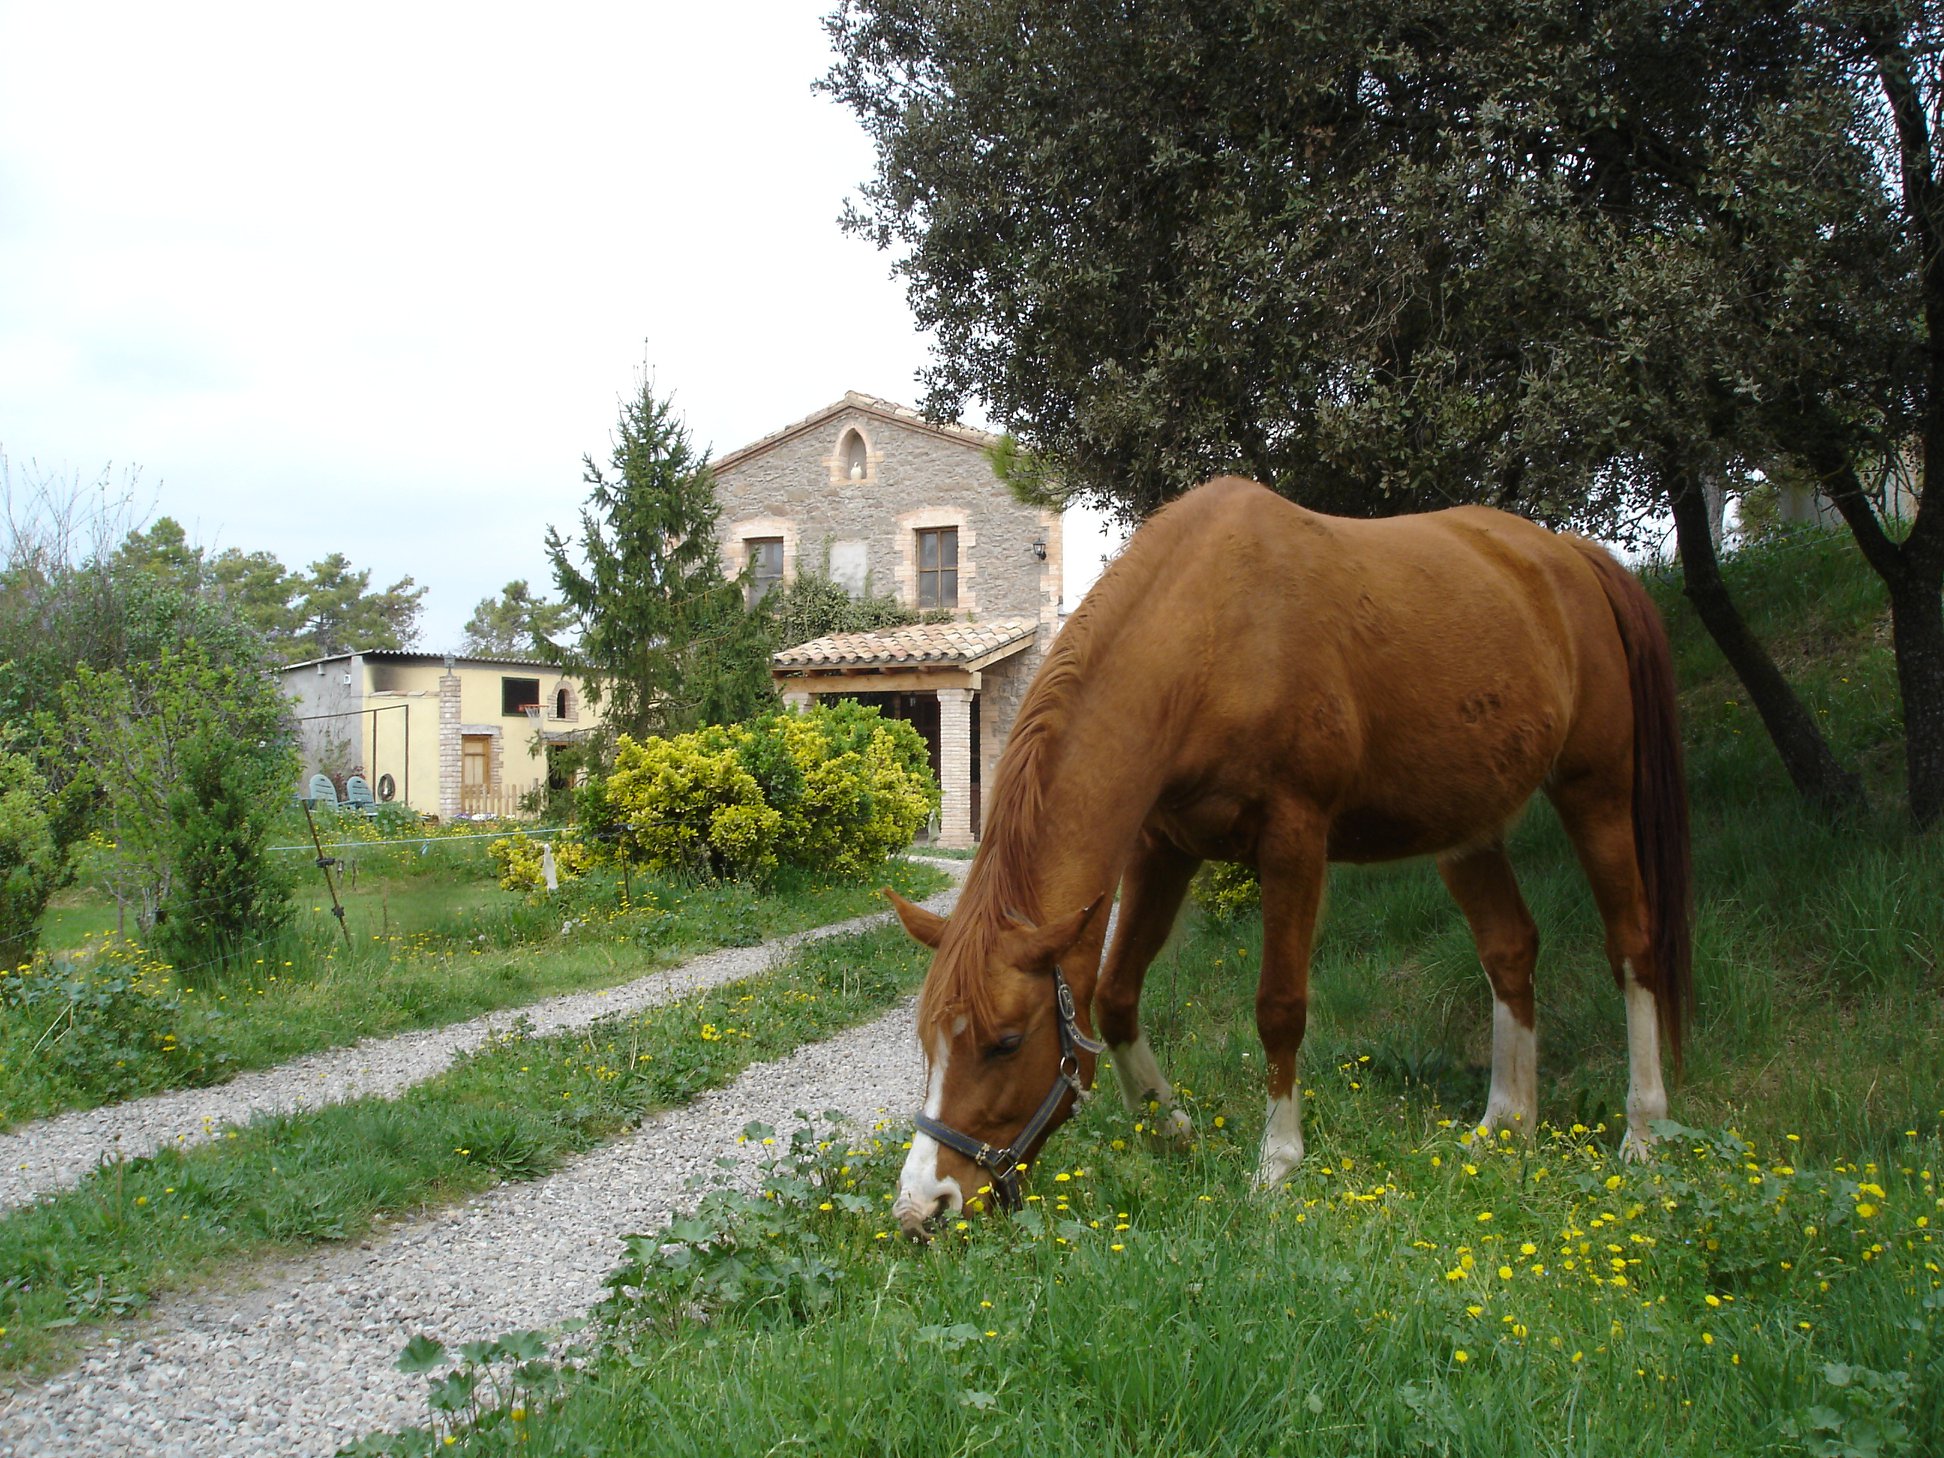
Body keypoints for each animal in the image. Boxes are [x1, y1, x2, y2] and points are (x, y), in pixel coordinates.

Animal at [885, 476, 1690, 1238]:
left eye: (1005, 1043)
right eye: (929, 1044)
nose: (924, 1208)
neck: (1213, 637)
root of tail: (1570, 559)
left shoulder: (1294, 839)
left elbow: (1279, 1007)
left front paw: (1277, 1164)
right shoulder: (1163, 847)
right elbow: (1113, 994)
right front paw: (1168, 1127)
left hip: (1596, 791)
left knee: (1632, 945)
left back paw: (1645, 1131)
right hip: (1469, 829)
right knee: (1510, 951)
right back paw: (1505, 1127)